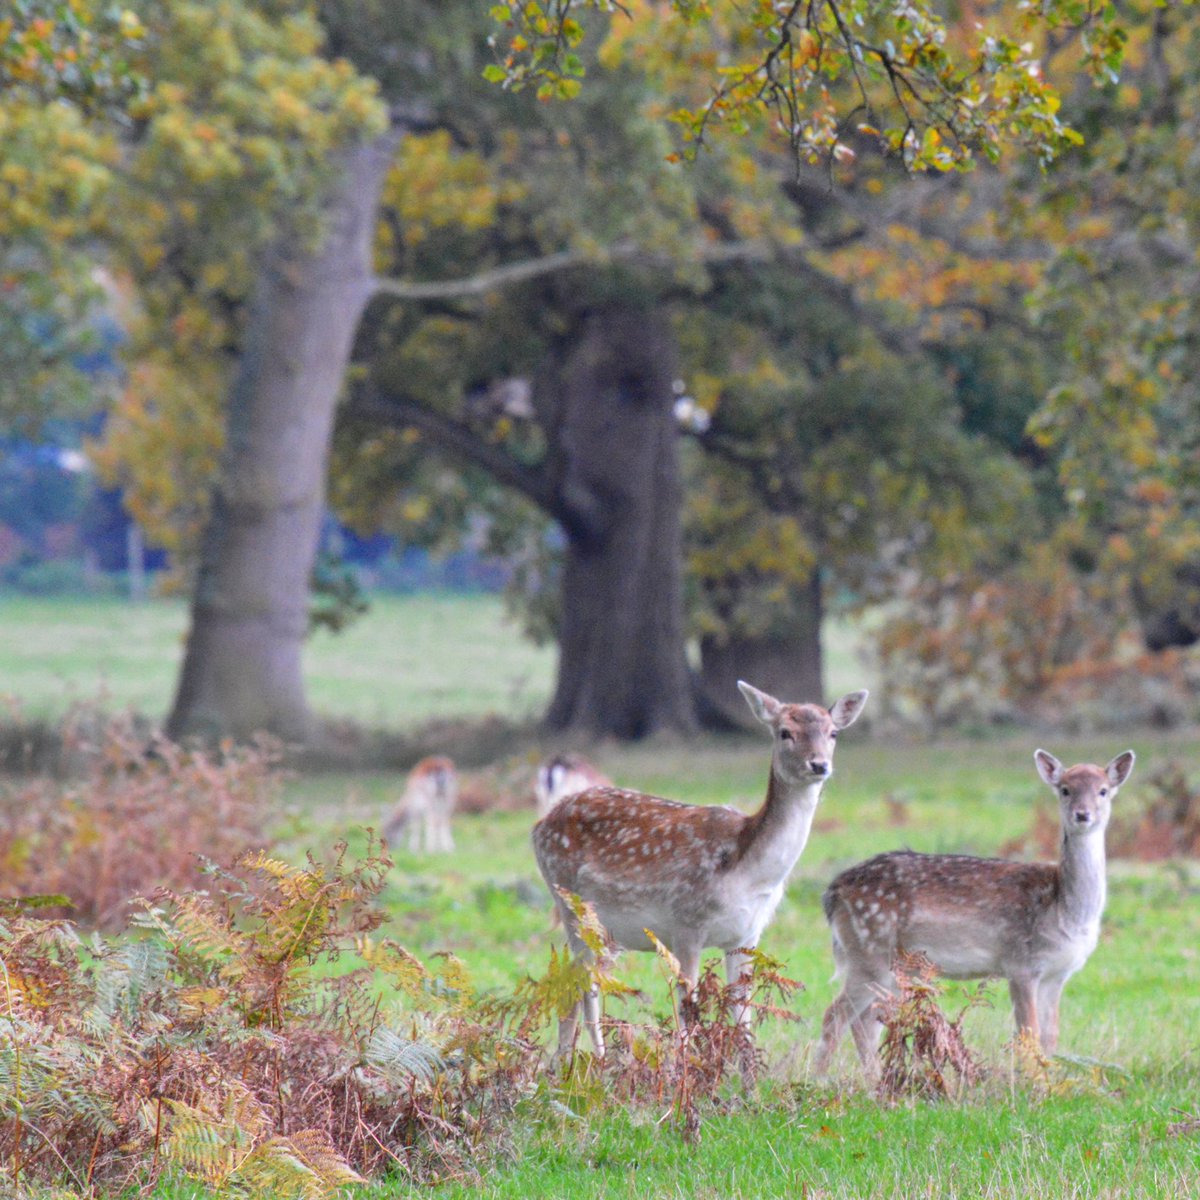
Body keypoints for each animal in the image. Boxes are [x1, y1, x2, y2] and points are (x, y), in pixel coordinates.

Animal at [532, 686, 864, 1060]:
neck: (748, 873)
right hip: (568, 904)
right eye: (784, 732)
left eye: (833, 733)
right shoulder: (685, 925)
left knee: (588, 983)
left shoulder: (748, 935)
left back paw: (597, 1060)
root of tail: (540, 825)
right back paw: (566, 1063)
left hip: (600, 933)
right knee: (573, 983)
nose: (819, 764)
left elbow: (744, 1020)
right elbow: (687, 1016)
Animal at [816, 748, 1132, 1080]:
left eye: (1103, 790)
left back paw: (875, 1081)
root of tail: (833, 892)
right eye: (1065, 789)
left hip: (890, 966)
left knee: (866, 1021)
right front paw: (1032, 1085)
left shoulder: (1058, 973)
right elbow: (1028, 1034)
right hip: (868, 951)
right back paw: (821, 1080)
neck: (1064, 910)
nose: (1082, 814)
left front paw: (1047, 1081)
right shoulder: (1020, 963)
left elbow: (1049, 1038)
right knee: (836, 1015)